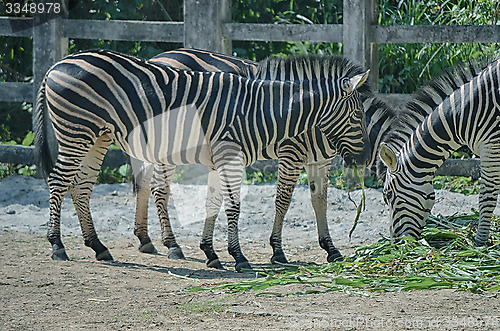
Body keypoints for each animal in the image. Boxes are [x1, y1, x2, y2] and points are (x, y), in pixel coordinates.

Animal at [34, 49, 372, 272]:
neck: (259, 111)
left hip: (98, 135)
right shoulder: (240, 155)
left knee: (81, 186)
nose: (366, 158)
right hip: (76, 131)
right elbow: (237, 205)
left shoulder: (220, 158)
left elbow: (213, 202)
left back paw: (99, 247)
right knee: (58, 181)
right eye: (357, 115)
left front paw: (211, 252)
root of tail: (55, 66)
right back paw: (57, 245)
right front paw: (240, 257)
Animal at [376, 57, 498, 246]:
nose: (396, 244)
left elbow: (487, 196)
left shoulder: (491, 144)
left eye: (387, 195)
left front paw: (480, 242)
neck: (460, 115)